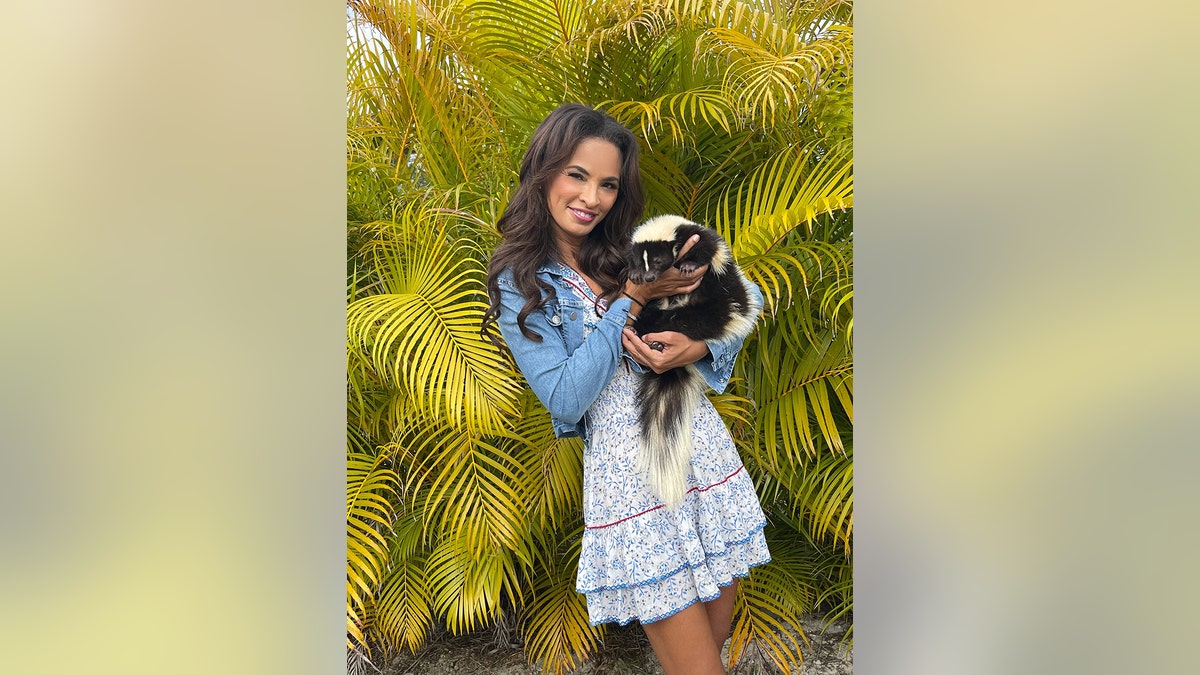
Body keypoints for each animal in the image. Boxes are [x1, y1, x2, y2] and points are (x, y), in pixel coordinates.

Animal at [628, 213, 758, 504]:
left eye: (658, 261)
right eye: (642, 261)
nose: (649, 276)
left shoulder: (700, 237)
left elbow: (708, 250)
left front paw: (689, 265)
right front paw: (633, 274)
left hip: (710, 309)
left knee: (684, 321)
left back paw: (653, 335)